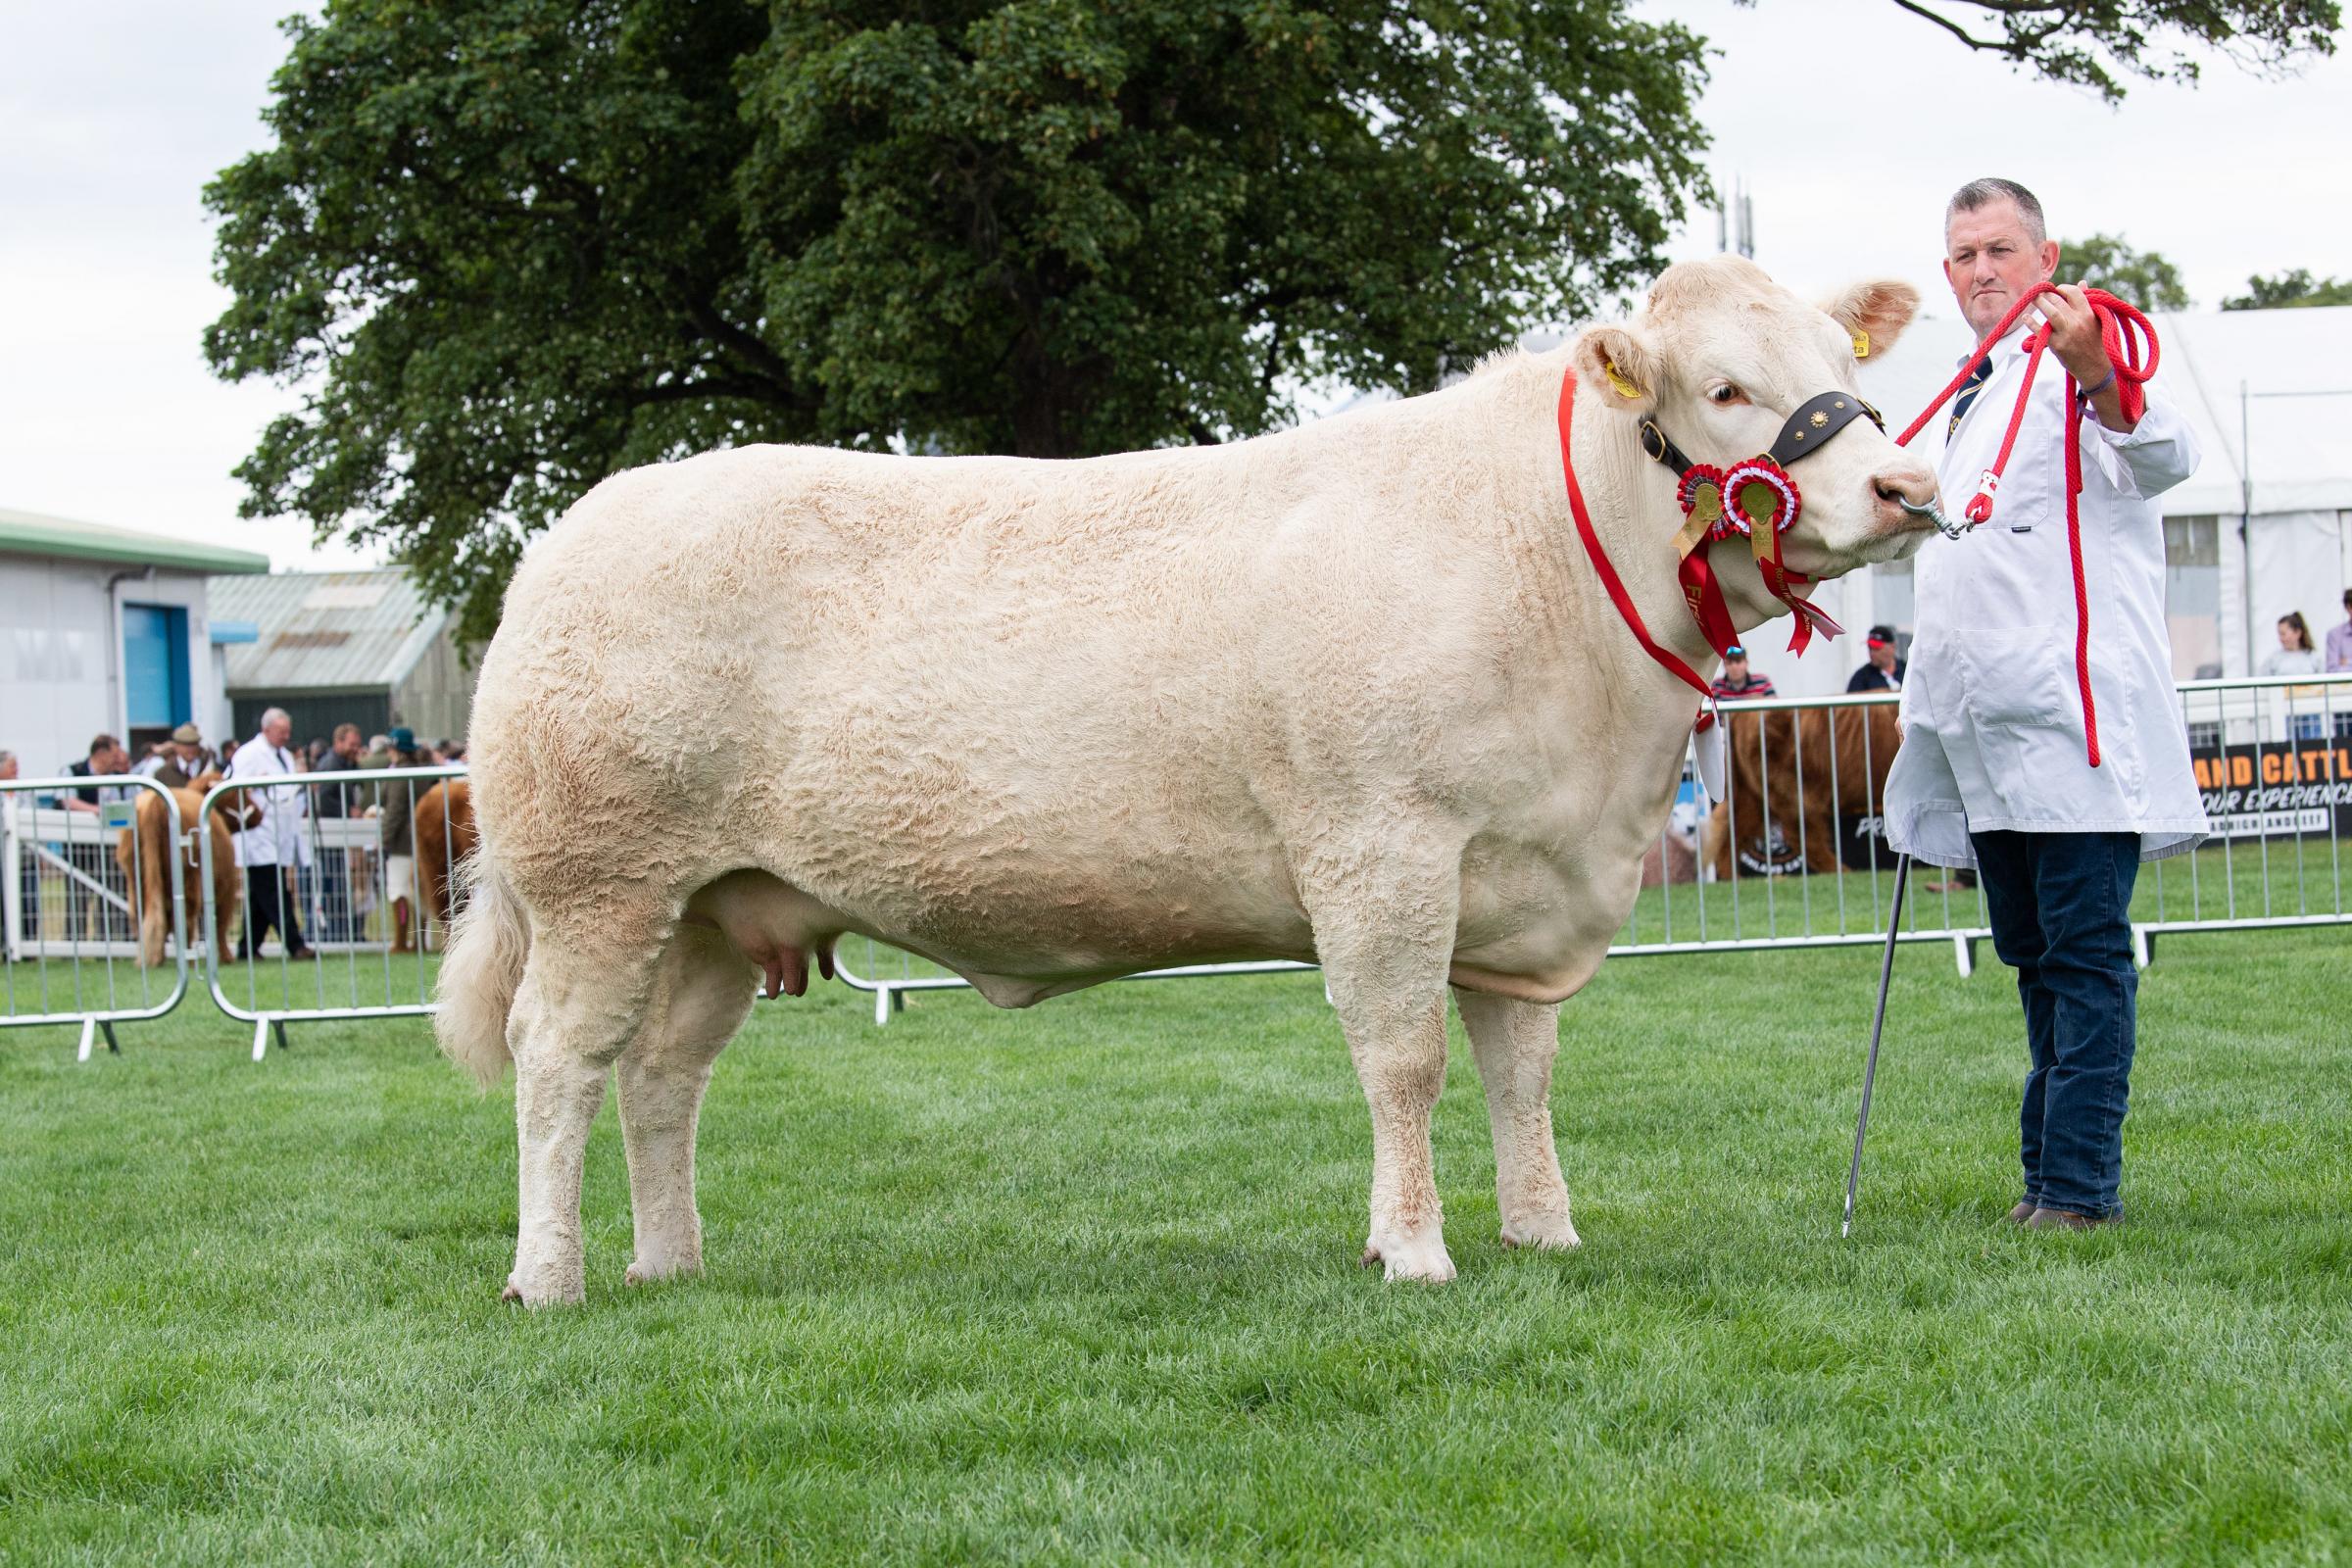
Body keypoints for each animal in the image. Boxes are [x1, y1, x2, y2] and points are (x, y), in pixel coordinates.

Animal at [112, 775, 243, 968]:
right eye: (234, 796)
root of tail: (155, 802)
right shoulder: (226, 886)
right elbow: (220, 923)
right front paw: (226, 957)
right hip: (189, 879)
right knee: (185, 918)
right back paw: (187, 960)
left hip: (136, 878)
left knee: (142, 915)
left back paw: (151, 959)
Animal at [1712, 700, 1909, 879]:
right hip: (1792, 792)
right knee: (1803, 835)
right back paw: (1841, 871)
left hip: (1753, 797)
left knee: (1733, 831)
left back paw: (1733, 877)